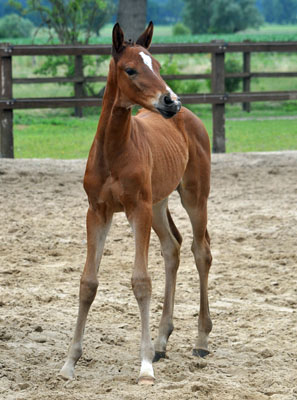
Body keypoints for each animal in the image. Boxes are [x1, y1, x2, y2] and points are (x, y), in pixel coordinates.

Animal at [59, 21, 212, 384]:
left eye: (156, 65)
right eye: (131, 69)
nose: (172, 101)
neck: (115, 151)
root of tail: (192, 119)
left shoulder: (136, 210)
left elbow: (141, 282)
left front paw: (144, 368)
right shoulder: (97, 212)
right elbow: (88, 282)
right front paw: (70, 362)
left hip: (194, 196)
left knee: (201, 251)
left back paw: (200, 340)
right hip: (158, 204)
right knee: (172, 248)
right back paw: (161, 341)